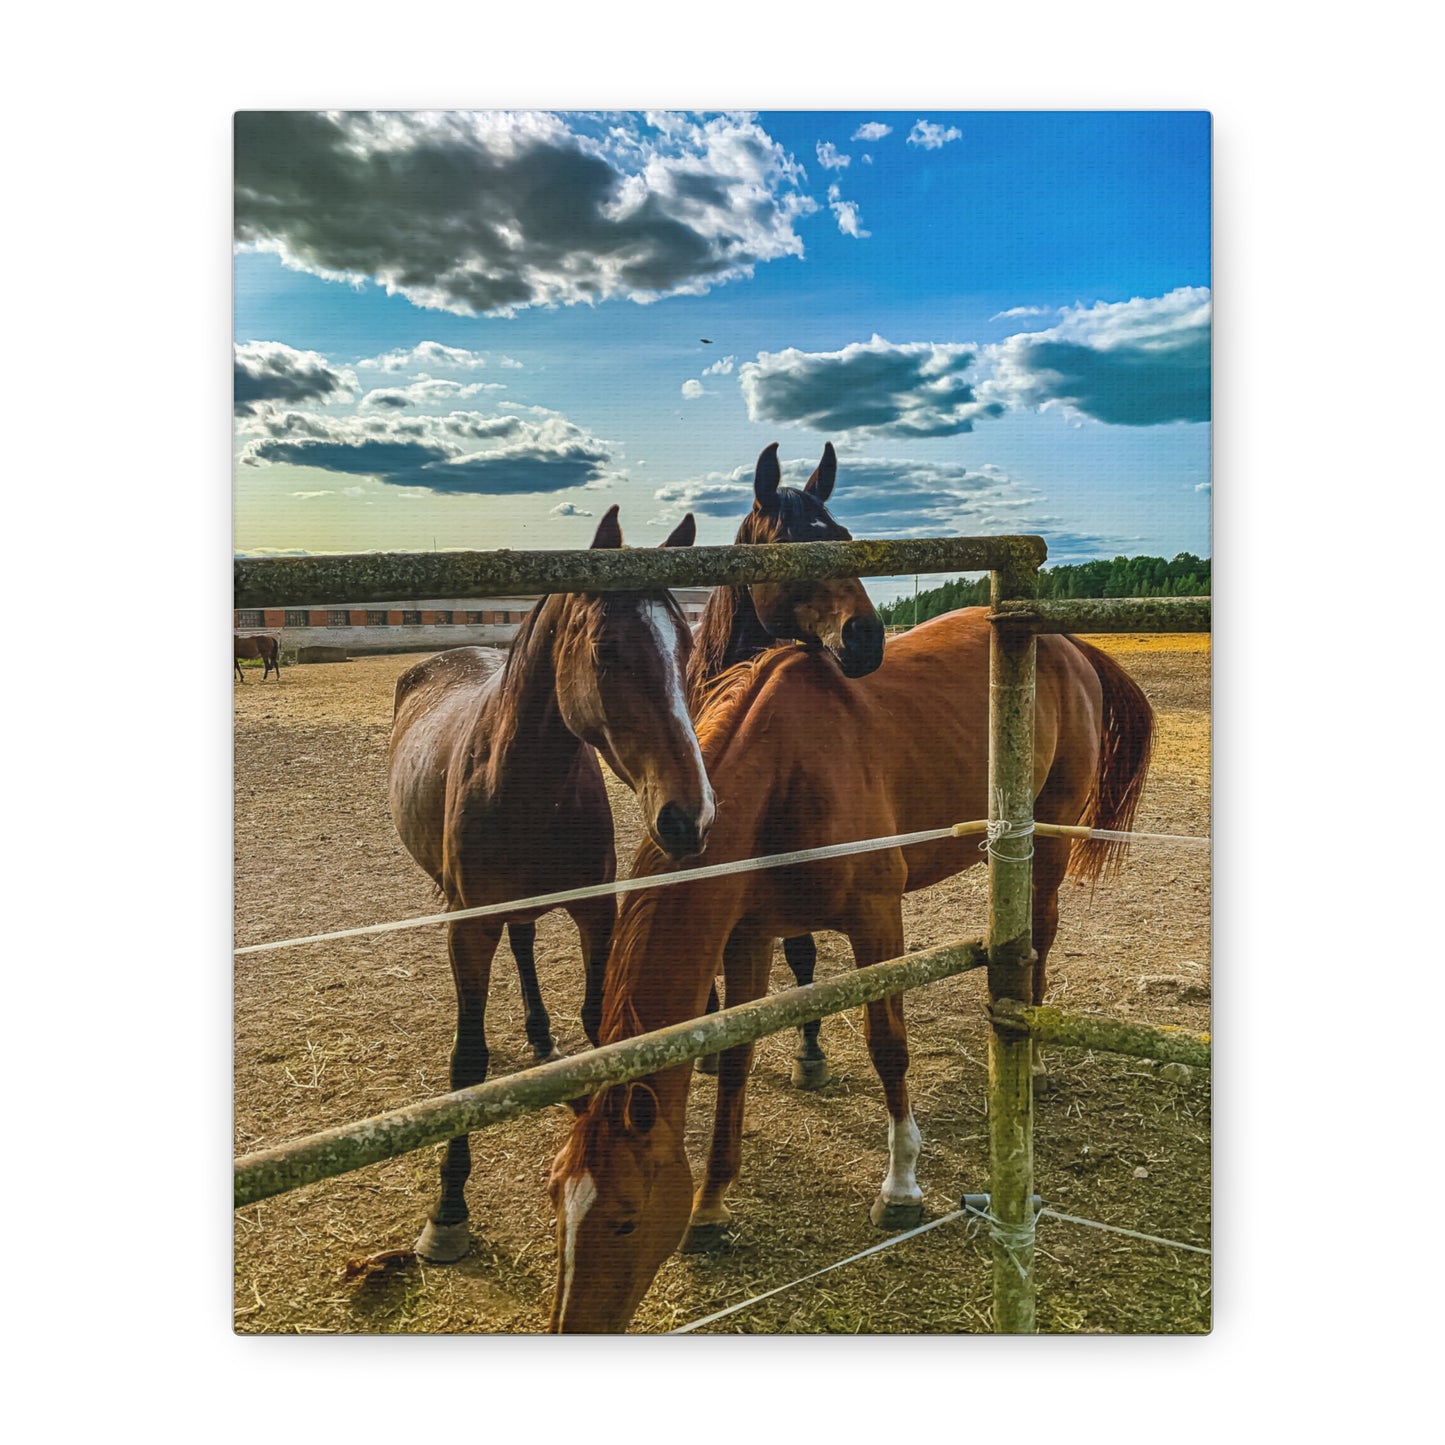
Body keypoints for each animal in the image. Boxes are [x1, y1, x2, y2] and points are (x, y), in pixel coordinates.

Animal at [387, 505, 715, 1264]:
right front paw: (448, 1210)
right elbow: (467, 1062)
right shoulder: (468, 926)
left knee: (526, 940)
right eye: (606, 649)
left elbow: (599, 1027)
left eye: (686, 647)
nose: (689, 816)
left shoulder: (596, 913)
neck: (523, 782)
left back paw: (540, 1034)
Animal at [547, 606, 1154, 1332]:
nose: (570, 1327)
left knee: (1042, 934)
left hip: (1052, 834)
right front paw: (713, 1202)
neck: (785, 777)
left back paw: (1029, 1062)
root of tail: (1067, 643)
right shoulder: (748, 937)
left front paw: (901, 1186)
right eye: (557, 1203)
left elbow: (887, 1045)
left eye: (624, 1219)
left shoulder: (875, 920)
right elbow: (736, 1061)